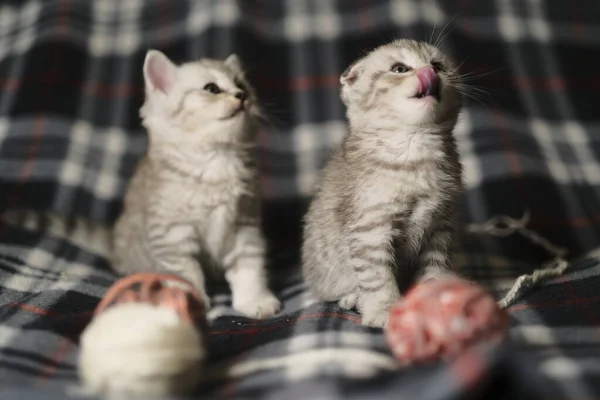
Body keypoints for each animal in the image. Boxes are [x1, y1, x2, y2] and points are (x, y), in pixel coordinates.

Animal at [112, 50, 282, 318]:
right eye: (211, 89)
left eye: (242, 85)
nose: (242, 96)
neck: (217, 161)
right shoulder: (173, 234)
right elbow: (186, 274)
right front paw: (188, 300)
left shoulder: (245, 227)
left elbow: (249, 269)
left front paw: (255, 301)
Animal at [304, 39, 464, 328]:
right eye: (399, 68)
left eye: (437, 65)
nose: (429, 73)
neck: (414, 149)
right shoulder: (370, 228)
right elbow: (377, 276)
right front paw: (384, 310)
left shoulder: (441, 227)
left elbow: (434, 267)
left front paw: (433, 300)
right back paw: (351, 297)